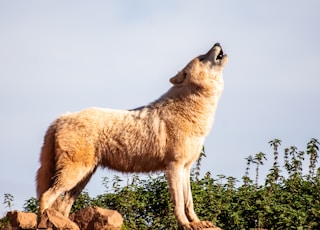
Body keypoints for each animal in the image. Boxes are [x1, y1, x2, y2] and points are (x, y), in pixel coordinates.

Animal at [37, 43, 228, 230]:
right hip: (74, 174)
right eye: (202, 57)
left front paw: (197, 223)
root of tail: (61, 118)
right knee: (46, 196)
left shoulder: (186, 168)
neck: (191, 110)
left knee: (63, 205)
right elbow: (179, 203)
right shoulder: (174, 166)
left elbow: (189, 202)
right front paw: (185, 224)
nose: (217, 43)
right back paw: (45, 222)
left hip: (82, 178)